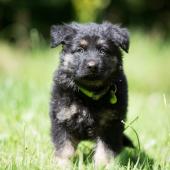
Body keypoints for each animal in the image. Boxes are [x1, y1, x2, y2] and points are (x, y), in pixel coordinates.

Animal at [49, 21, 133, 167]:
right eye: (80, 50)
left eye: (103, 50)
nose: (92, 66)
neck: (89, 94)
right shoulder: (62, 118)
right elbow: (64, 148)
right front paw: (62, 165)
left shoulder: (110, 125)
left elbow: (105, 150)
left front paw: (103, 166)